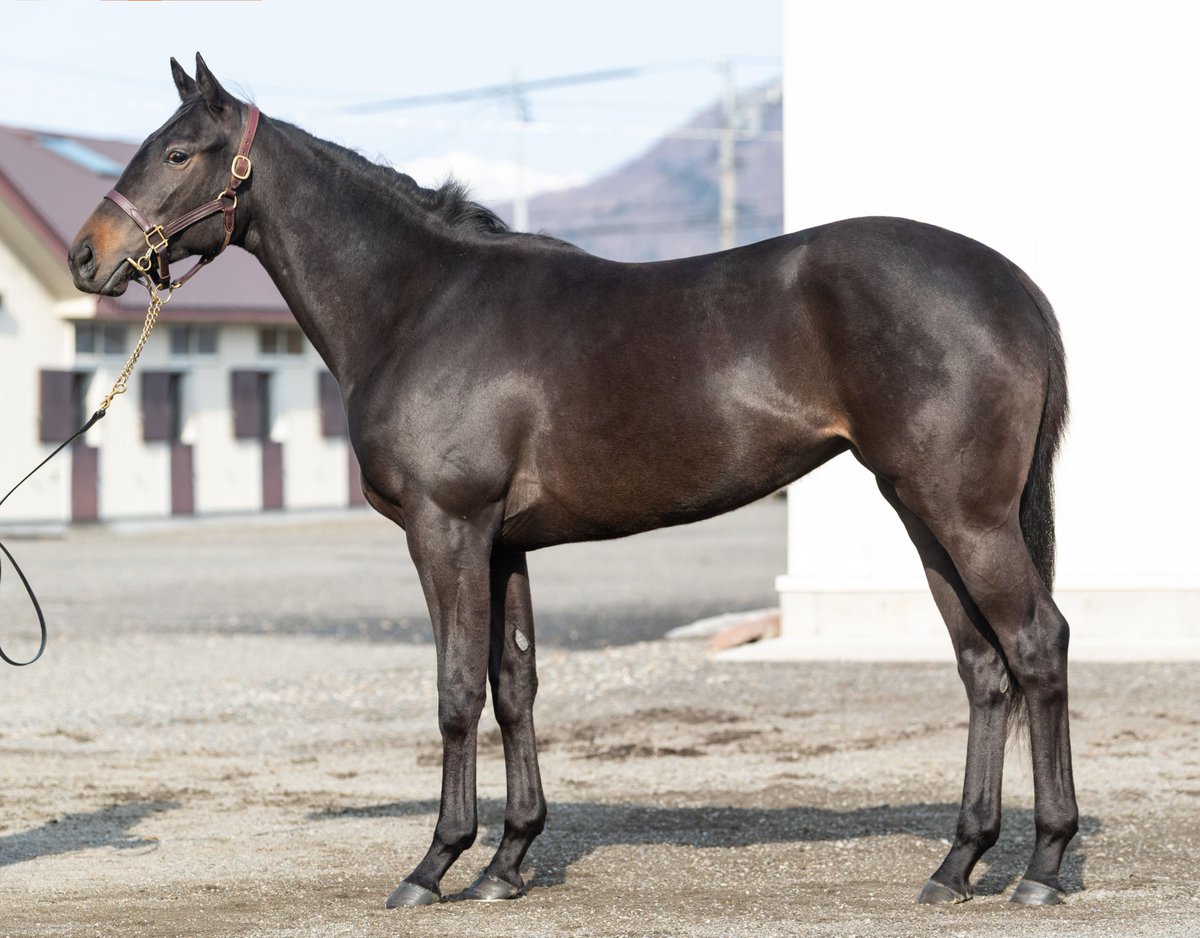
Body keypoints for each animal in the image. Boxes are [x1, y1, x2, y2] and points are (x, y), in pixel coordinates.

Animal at [68, 54, 1076, 909]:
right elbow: (514, 685)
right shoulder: (503, 543)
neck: (419, 303)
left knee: (1038, 644)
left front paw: (435, 865)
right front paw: (507, 863)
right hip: (922, 512)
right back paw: (958, 864)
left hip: (967, 516)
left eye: (178, 151)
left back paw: (1041, 865)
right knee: (984, 666)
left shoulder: (446, 530)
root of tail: (1014, 285)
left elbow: (456, 693)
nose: (87, 256)